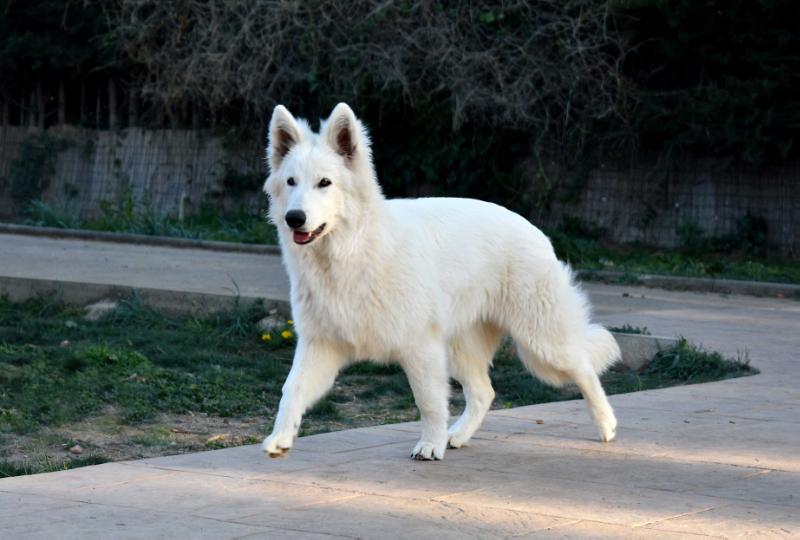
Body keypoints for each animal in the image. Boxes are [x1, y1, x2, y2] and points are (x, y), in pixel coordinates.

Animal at [260, 102, 620, 460]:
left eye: (325, 182)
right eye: (291, 182)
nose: (294, 218)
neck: (350, 251)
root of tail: (532, 228)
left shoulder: (420, 346)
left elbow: (429, 401)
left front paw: (430, 444)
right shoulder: (320, 345)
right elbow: (292, 388)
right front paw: (280, 437)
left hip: (543, 342)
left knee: (585, 369)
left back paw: (606, 425)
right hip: (464, 347)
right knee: (484, 392)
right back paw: (457, 435)